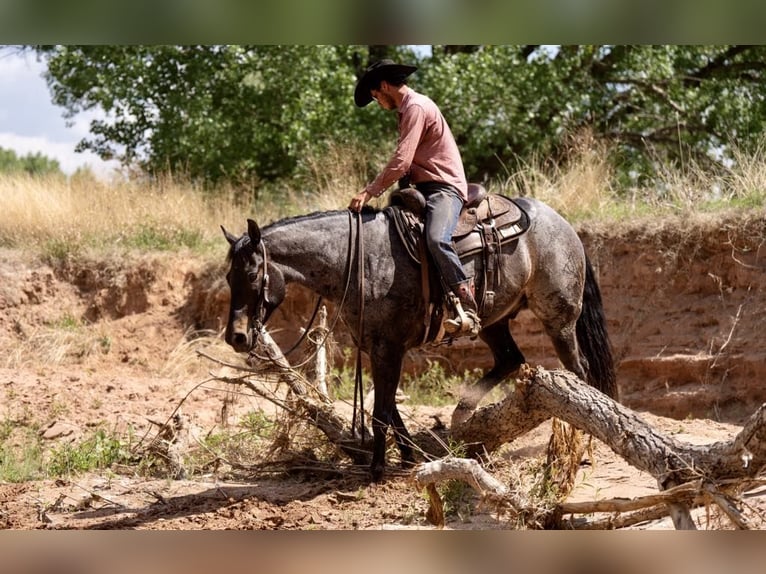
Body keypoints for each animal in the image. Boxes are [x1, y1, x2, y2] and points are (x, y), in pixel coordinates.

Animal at [222, 197, 616, 482]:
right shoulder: (377, 349)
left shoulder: (388, 348)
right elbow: (390, 407)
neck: (357, 260)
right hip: (493, 321)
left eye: (254, 275)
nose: (236, 337)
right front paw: (409, 457)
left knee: (578, 372)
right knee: (511, 360)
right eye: (228, 277)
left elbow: (381, 413)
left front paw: (377, 470)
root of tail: (564, 224)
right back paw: (463, 410)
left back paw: (583, 446)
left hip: (558, 320)